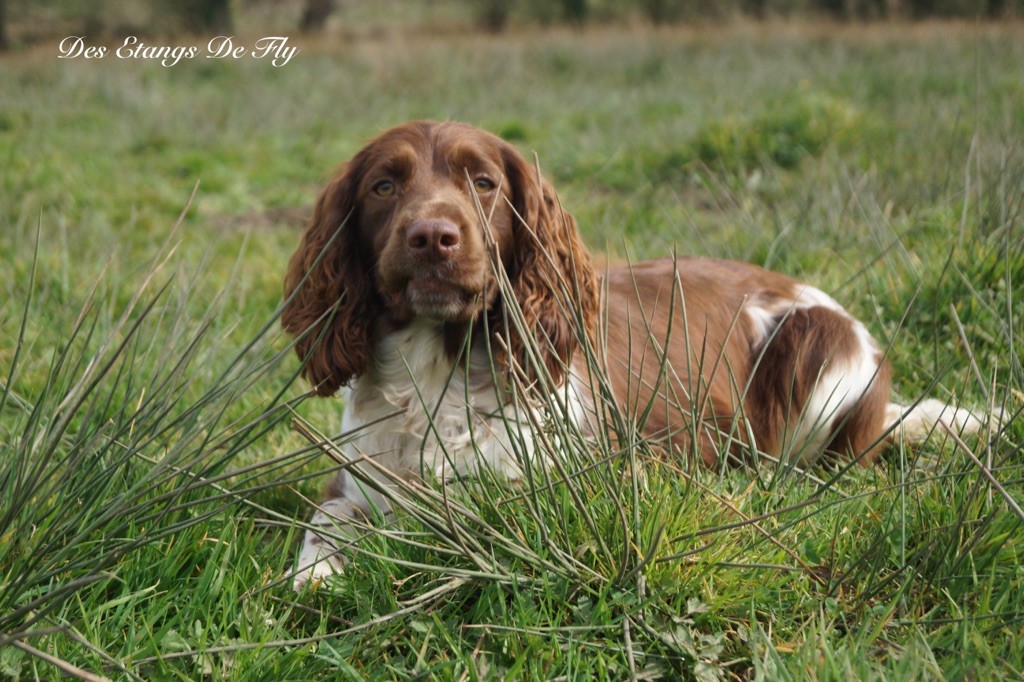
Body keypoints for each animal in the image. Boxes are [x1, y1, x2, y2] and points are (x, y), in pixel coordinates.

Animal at [280, 119, 974, 585]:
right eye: (383, 185)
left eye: (483, 181)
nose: (433, 236)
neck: (436, 373)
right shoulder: (353, 478)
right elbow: (325, 522)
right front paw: (316, 578)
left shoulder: (580, 481)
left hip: (817, 345)